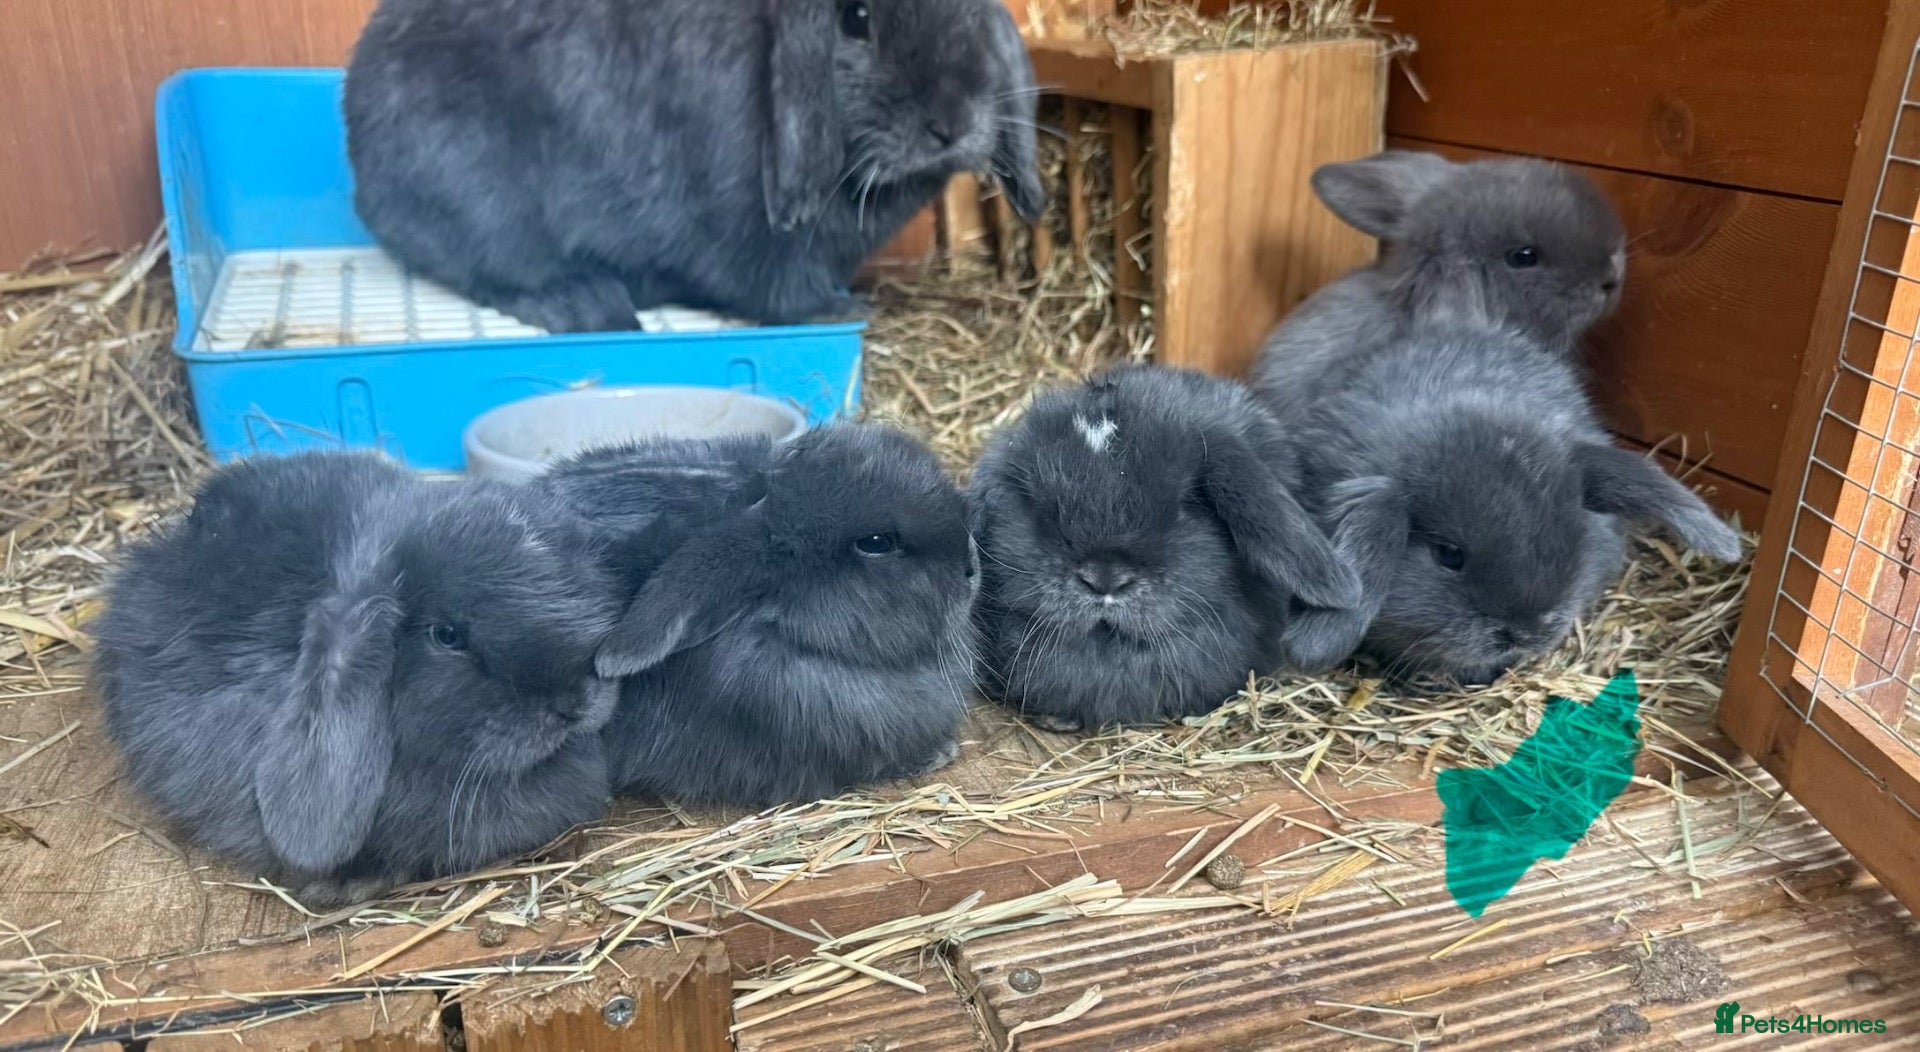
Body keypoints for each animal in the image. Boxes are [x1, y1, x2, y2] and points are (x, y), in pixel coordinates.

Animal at [344, 0, 1044, 333]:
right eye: (855, 15)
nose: (952, 121)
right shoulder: (746, 235)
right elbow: (775, 285)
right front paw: (841, 311)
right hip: (479, 201)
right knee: (499, 272)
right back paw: (587, 302)